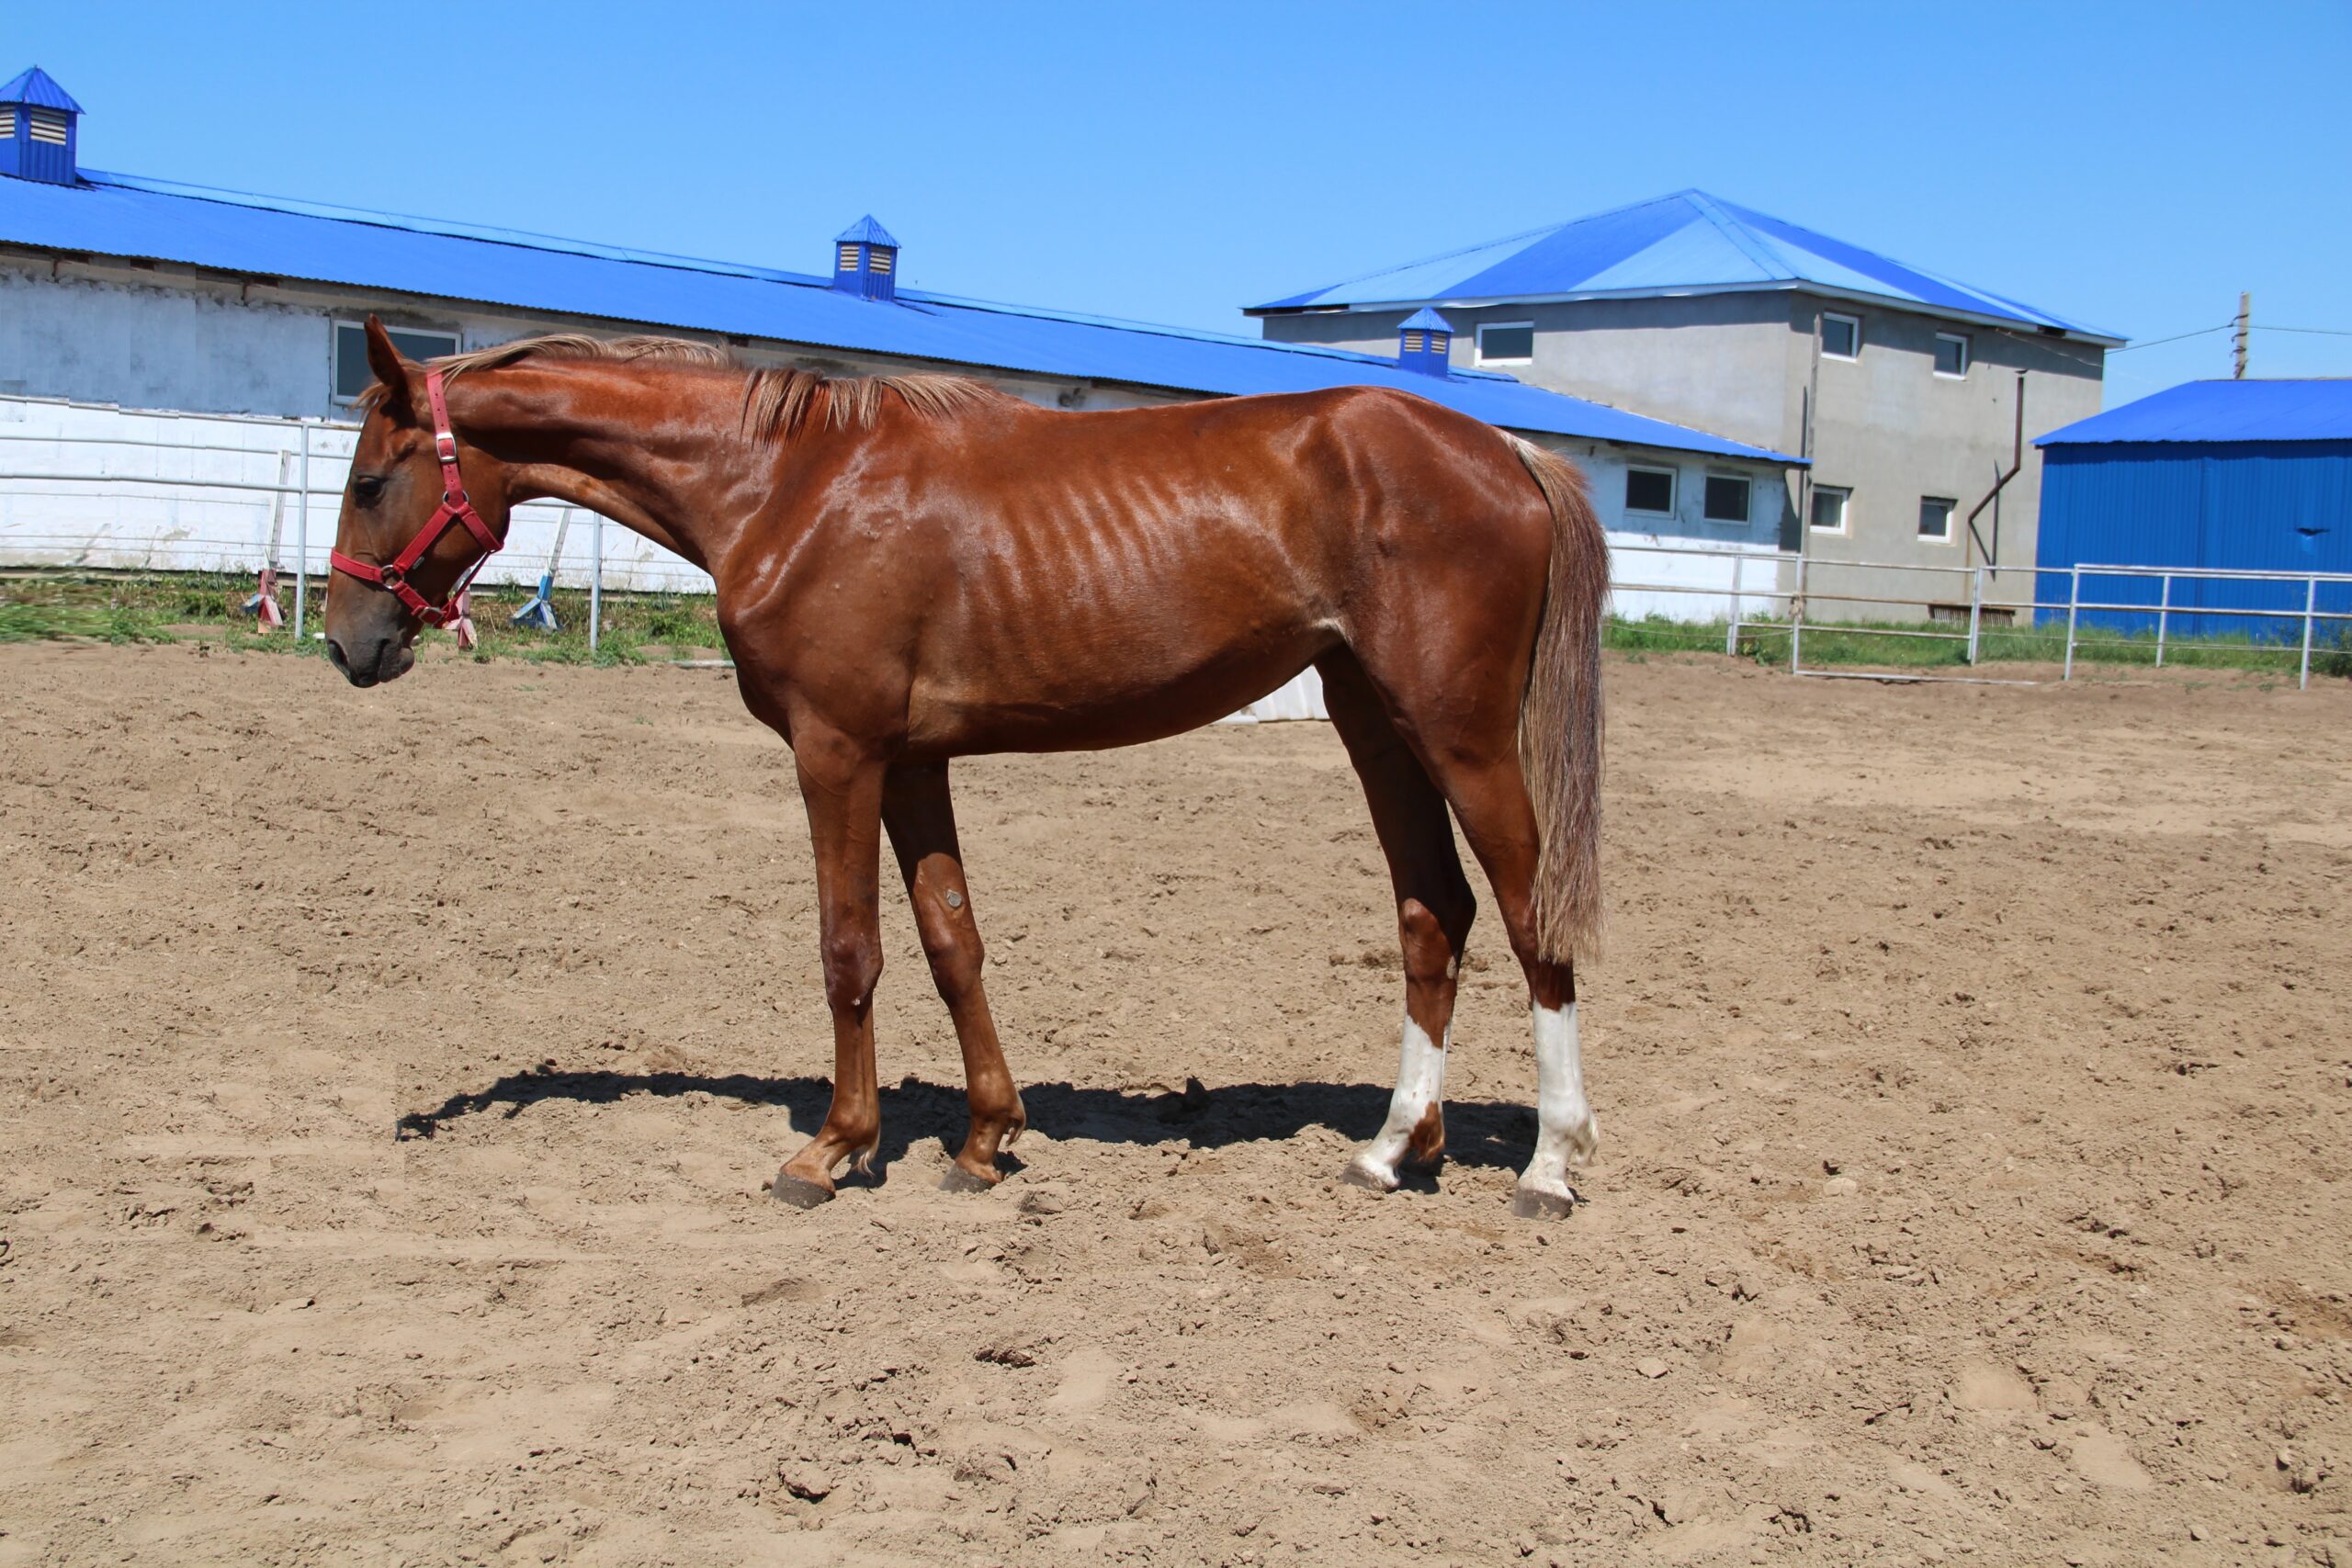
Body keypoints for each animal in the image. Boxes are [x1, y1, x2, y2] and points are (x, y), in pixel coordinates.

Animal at [322, 314, 1609, 1213]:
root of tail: (1503, 450)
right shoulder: (910, 764)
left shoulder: (837, 752)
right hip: (1375, 725)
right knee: (1433, 913)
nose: (349, 644)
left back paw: (1548, 1167)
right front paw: (987, 1140)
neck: (786, 483)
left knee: (1529, 915)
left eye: (371, 479)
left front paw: (832, 1150)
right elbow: (952, 942)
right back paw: (1393, 1149)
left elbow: (848, 949)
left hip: (1457, 734)